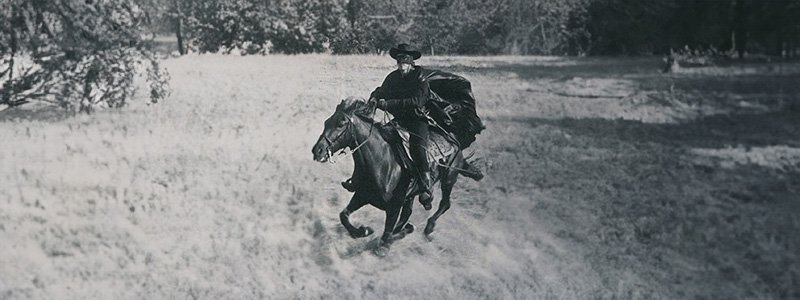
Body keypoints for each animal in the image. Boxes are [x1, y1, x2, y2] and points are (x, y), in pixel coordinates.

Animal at [312, 97, 482, 256]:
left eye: (341, 124)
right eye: (326, 122)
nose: (317, 150)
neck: (382, 162)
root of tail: (452, 138)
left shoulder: (394, 206)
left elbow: (386, 236)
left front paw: (386, 242)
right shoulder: (362, 195)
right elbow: (344, 215)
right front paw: (363, 231)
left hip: (449, 178)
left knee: (445, 204)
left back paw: (428, 228)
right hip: (412, 196)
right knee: (408, 214)